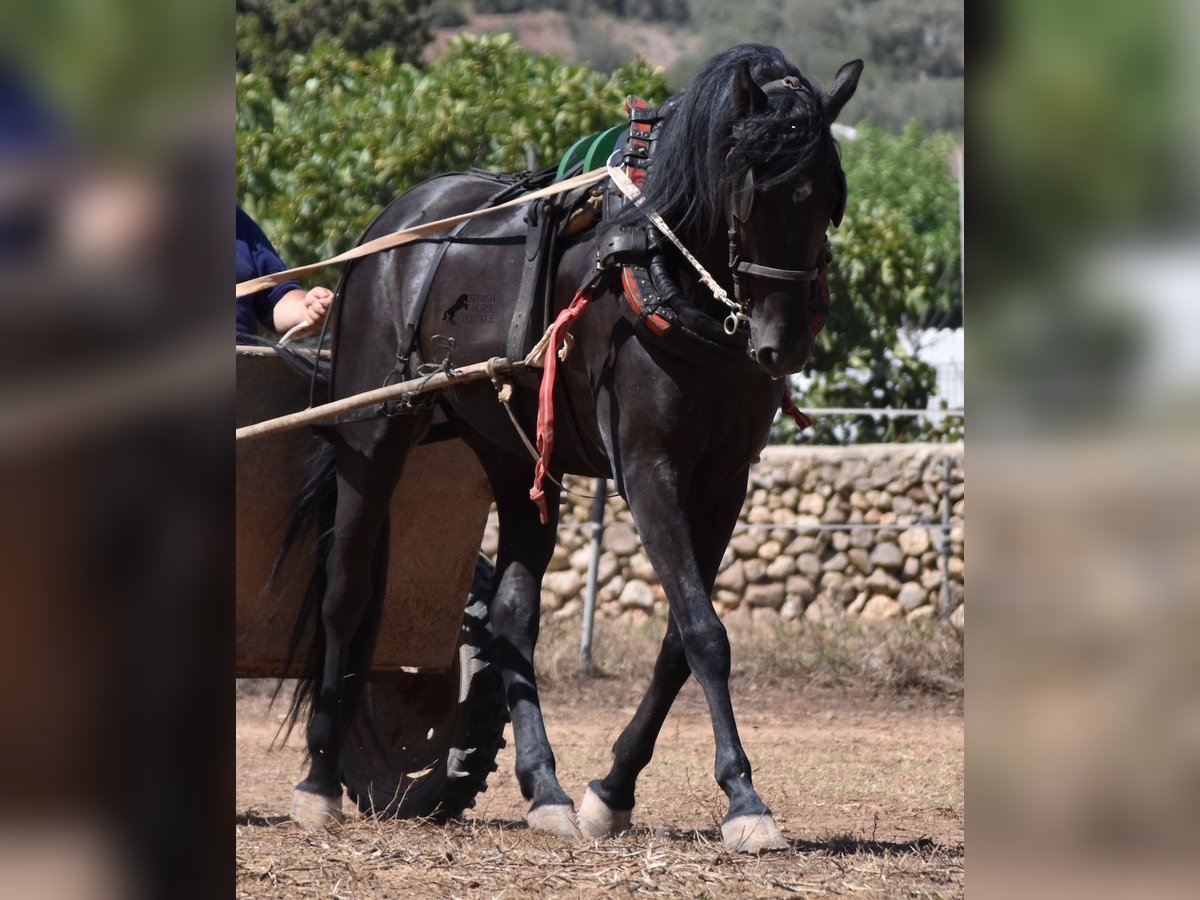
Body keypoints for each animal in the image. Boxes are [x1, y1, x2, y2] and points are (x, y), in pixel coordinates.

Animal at [285, 47, 859, 854]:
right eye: (751, 196)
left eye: (830, 200)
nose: (783, 344)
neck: (662, 270)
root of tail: (392, 230)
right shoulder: (648, 468)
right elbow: (704, 630)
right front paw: (745, 799)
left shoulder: (723, 482)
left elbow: (680, 638)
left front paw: (611, 791)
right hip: (375, 437)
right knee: (345, 593)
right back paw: (319, 779)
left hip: (516, 452)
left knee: (509, 619)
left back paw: (545, 788)